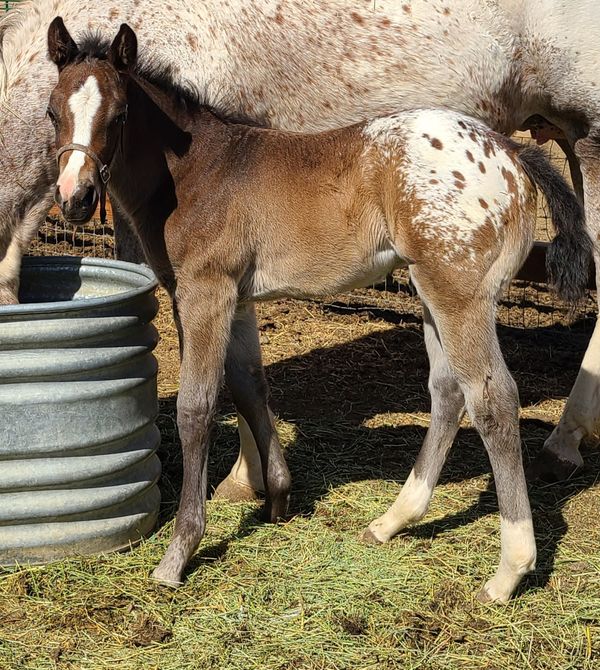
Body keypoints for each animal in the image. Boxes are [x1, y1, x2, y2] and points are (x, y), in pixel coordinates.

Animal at [47, 19, 592, 604]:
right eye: (53, 111)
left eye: (120, 114)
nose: (75, 199)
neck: (199, 171)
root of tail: (510, 151)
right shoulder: (238, 299)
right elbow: (249, 385)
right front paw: (279, 497)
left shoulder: (204, 292)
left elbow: (196, 408)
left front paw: (179, 551)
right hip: (430, 293)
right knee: (448, 391)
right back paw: (392, 521)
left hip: (458, 295)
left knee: (491, 399)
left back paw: (510, 569)